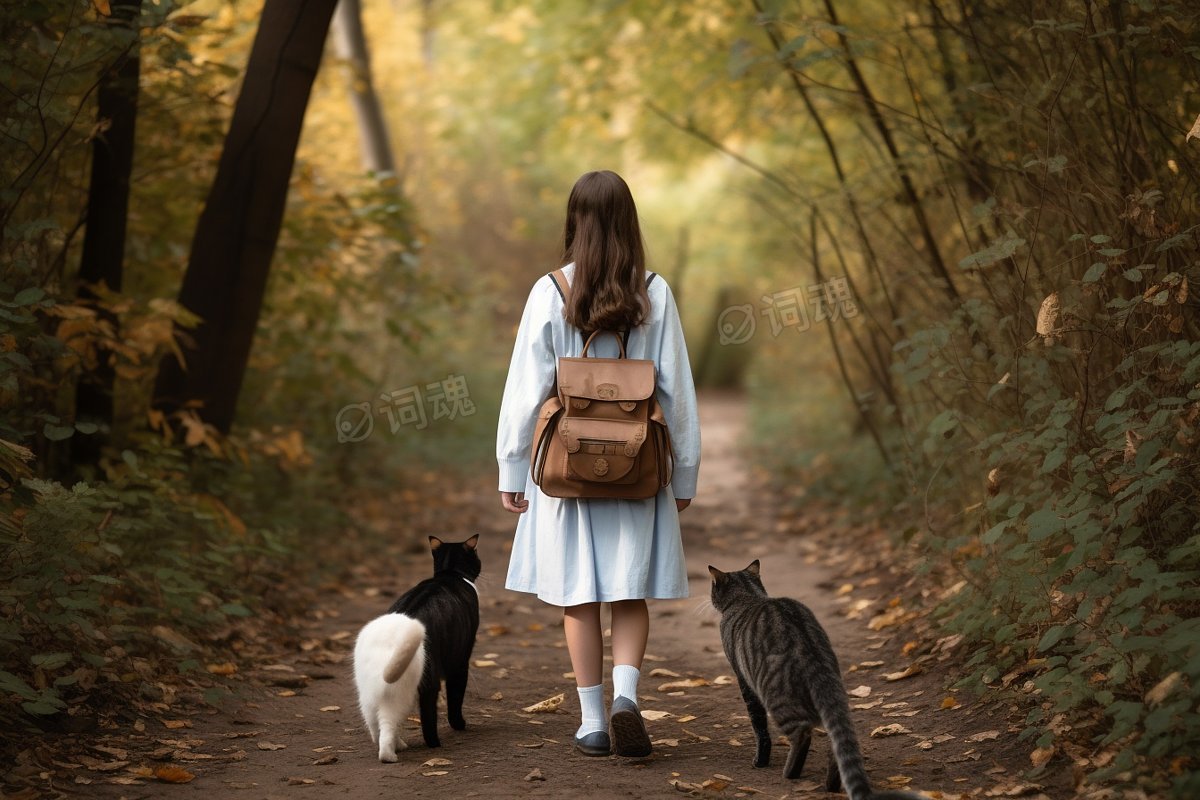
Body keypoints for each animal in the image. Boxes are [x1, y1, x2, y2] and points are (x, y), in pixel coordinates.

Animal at [710, 561, 926, 800]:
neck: (750, 595)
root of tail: (812, 652)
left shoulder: (744, 682)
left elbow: (760, 727)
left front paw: (760, 761)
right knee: (836, 746)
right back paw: (831, 784)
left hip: (779, 700)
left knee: (802, 735)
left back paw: (790, 773)